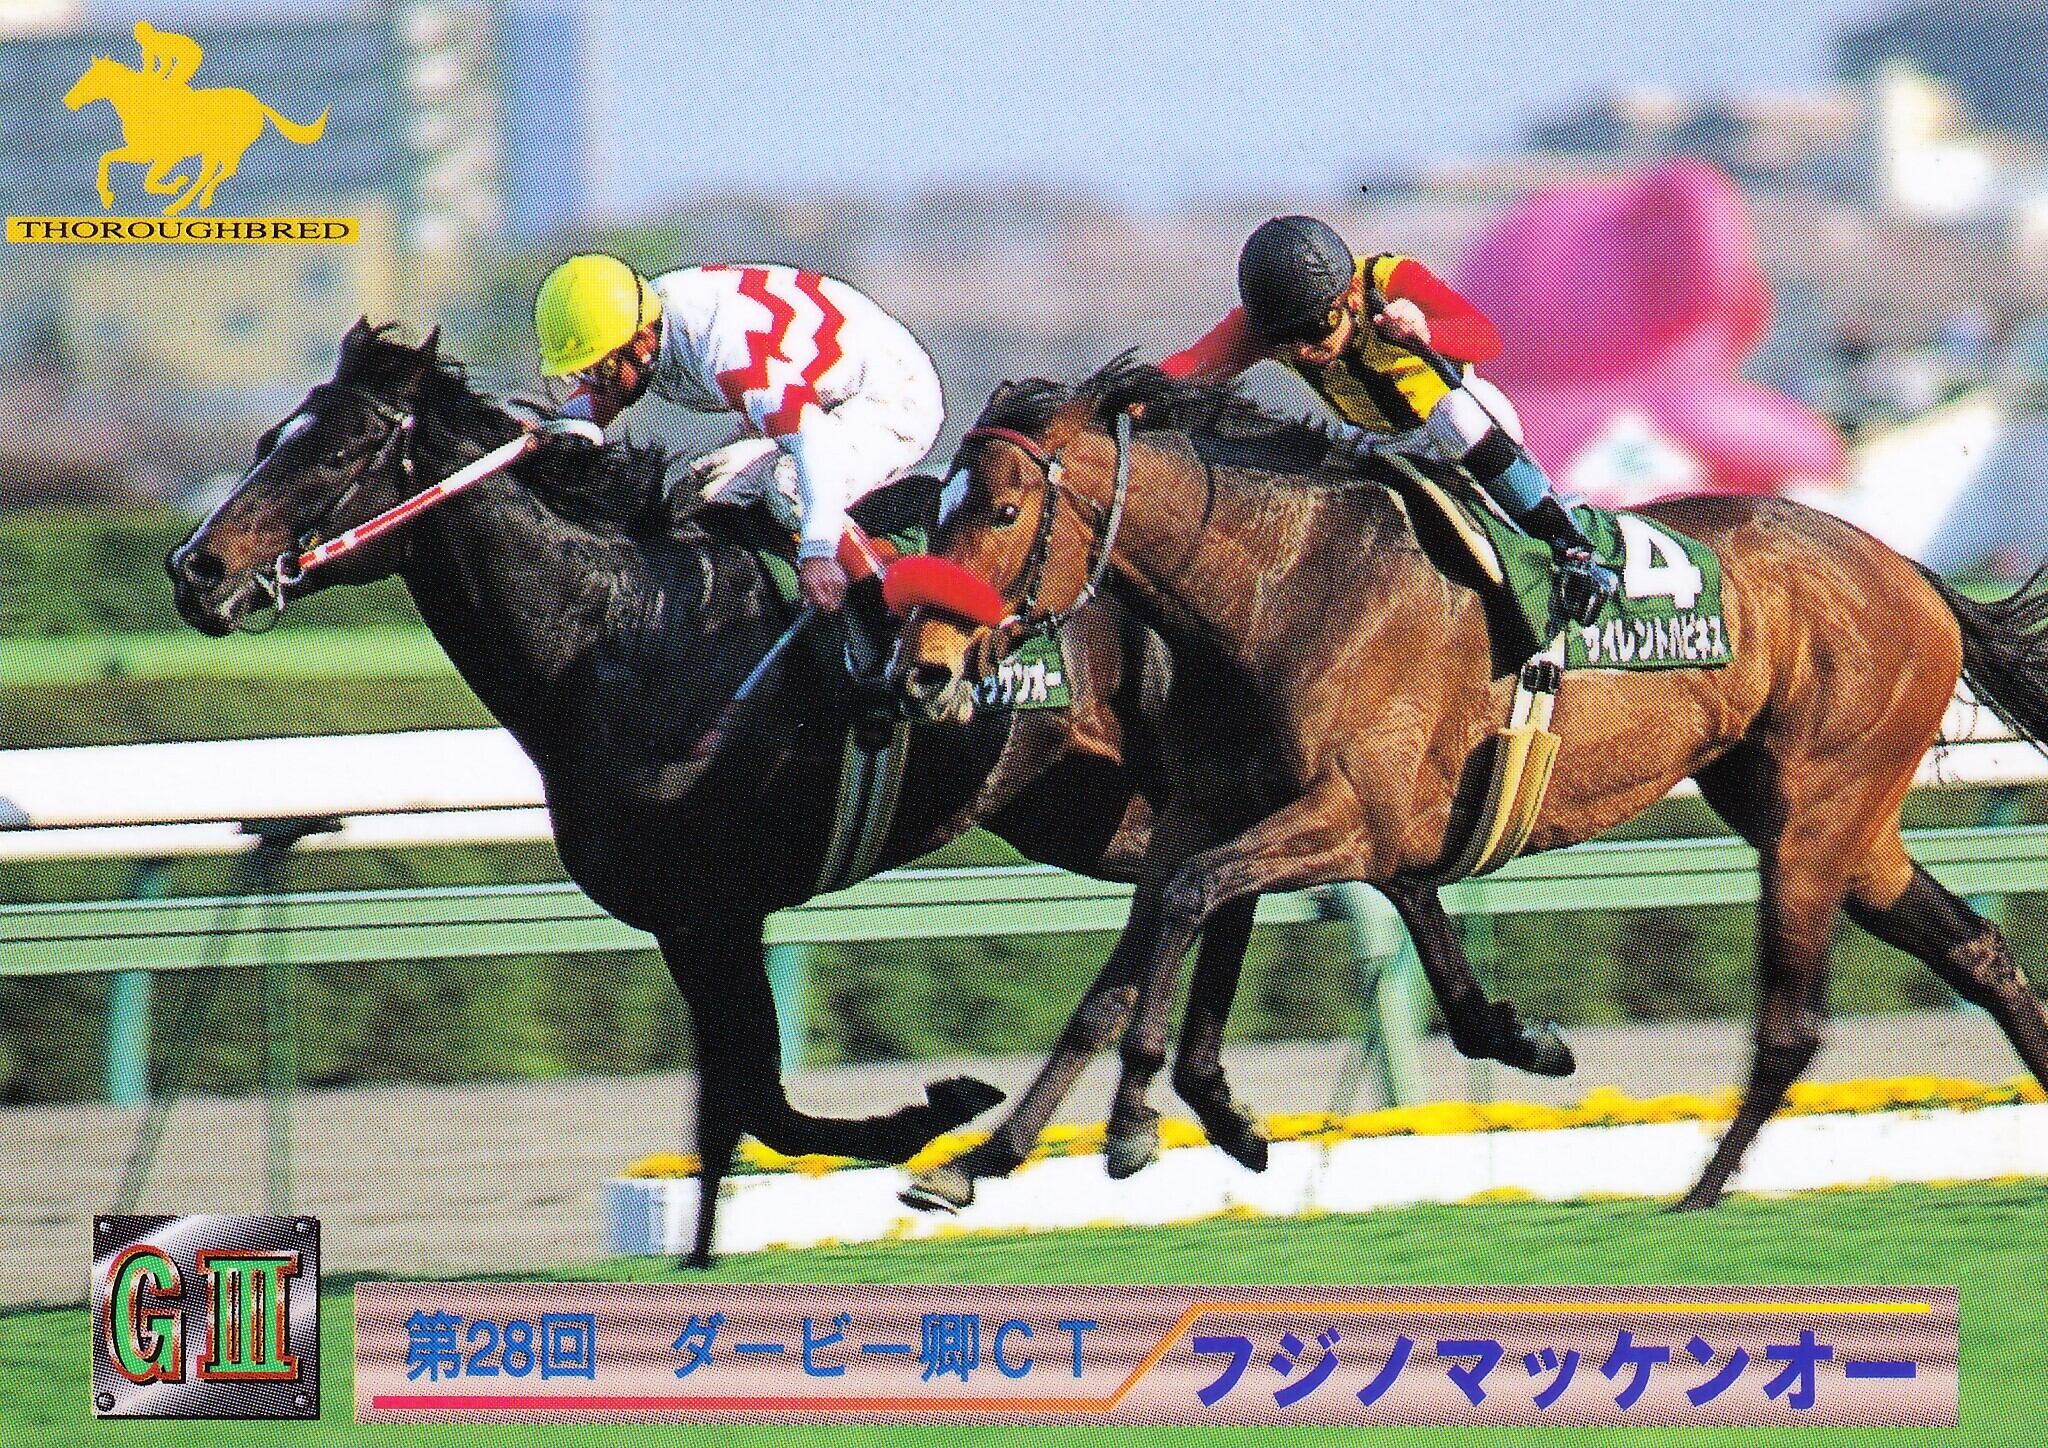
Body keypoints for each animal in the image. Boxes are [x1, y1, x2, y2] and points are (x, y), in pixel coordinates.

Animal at [891, 358, 2048, 1212]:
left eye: (1001, 511)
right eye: (936, 512)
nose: (923, 669)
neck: (1279, 584)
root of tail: (1909, 572)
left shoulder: (1351, 818)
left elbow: (1188, 905)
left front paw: (1135, 1123)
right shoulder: (1206, 808)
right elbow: (1123, 972)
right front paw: (982, 1157)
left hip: (1814, 814)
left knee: (1792, 1022)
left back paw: (1697, 1193)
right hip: (1827, 817)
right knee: (1978, 949)